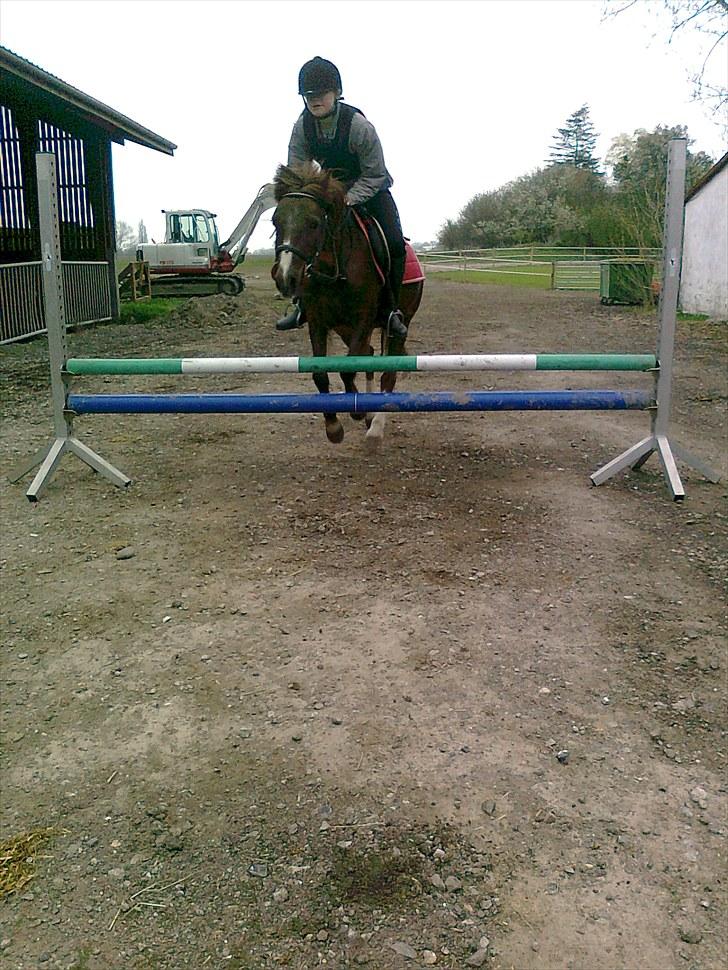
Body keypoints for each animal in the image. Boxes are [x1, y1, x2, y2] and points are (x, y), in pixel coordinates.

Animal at [270, 162, 424, 446]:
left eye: (314, 223)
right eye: (276, 221)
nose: (285, 277)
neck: (336, 267)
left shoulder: (363, 318)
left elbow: (347, 370)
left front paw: (356, 411)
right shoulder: (318, 321)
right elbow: (321, 374)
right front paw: (334, 427)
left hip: (398, 324)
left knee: (388, 372)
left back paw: (376, 427)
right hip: (343, 328)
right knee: (370, 355)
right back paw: (370, 416)